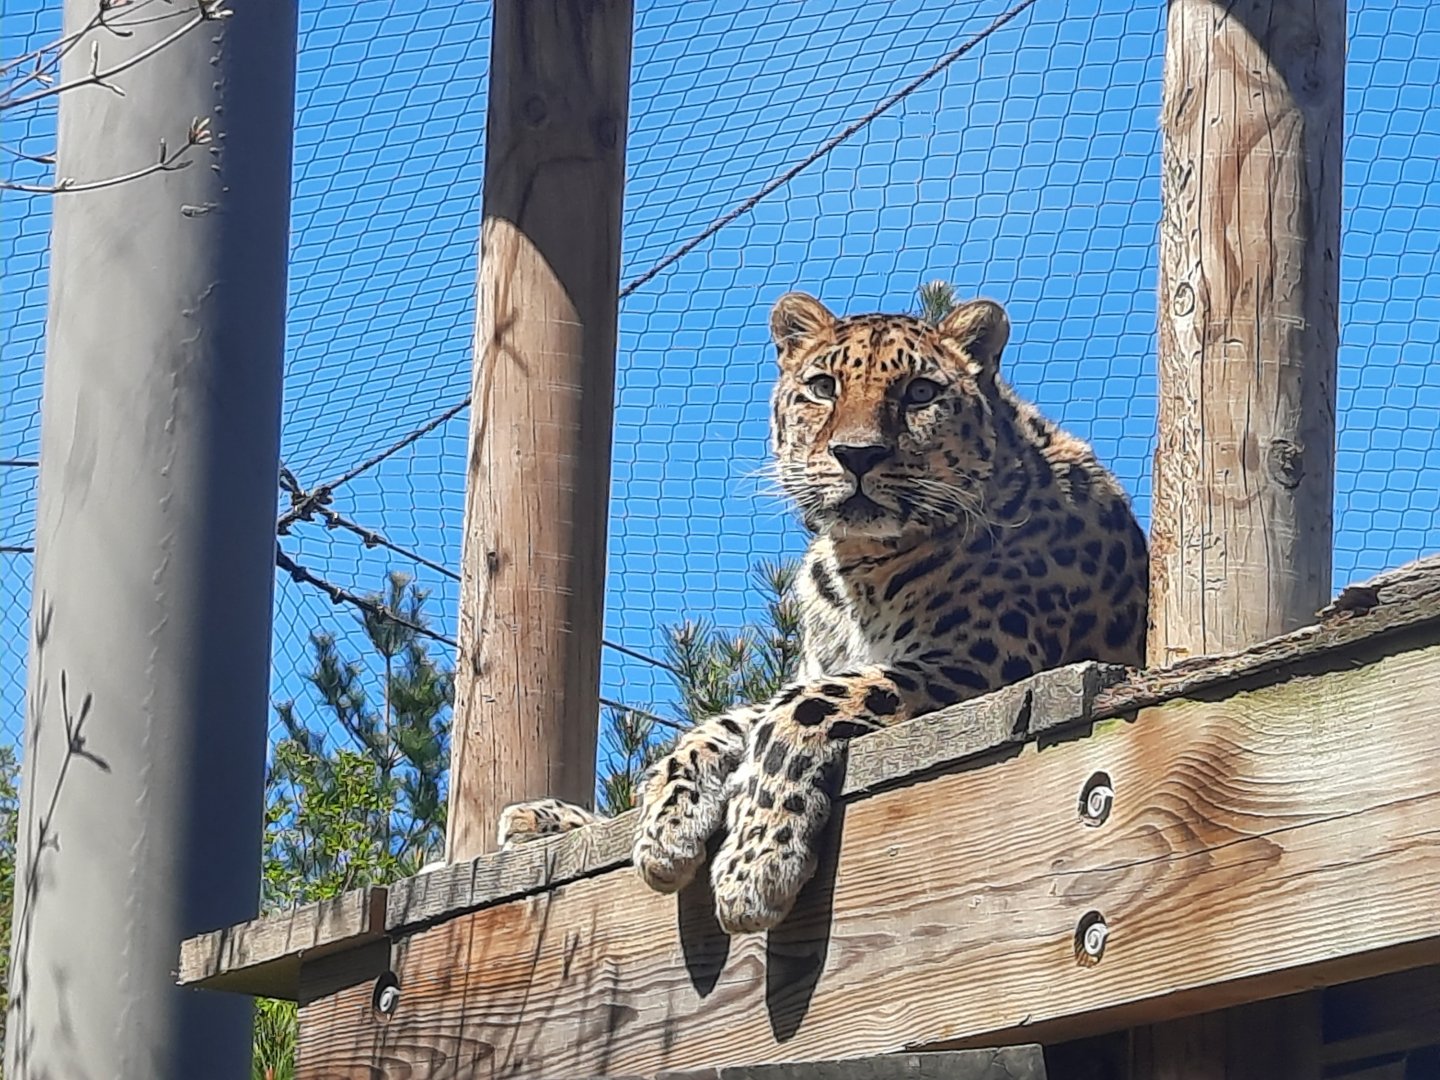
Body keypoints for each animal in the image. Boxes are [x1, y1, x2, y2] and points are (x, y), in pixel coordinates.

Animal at [497, 291, 1149, 935]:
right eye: (823, 386)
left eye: (920, 392)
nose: (856, 455)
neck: (857, 566)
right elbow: (723, 722)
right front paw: (666, 823)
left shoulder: (985, 660)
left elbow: (797, 711)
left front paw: (752, 866)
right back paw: (542, 819)